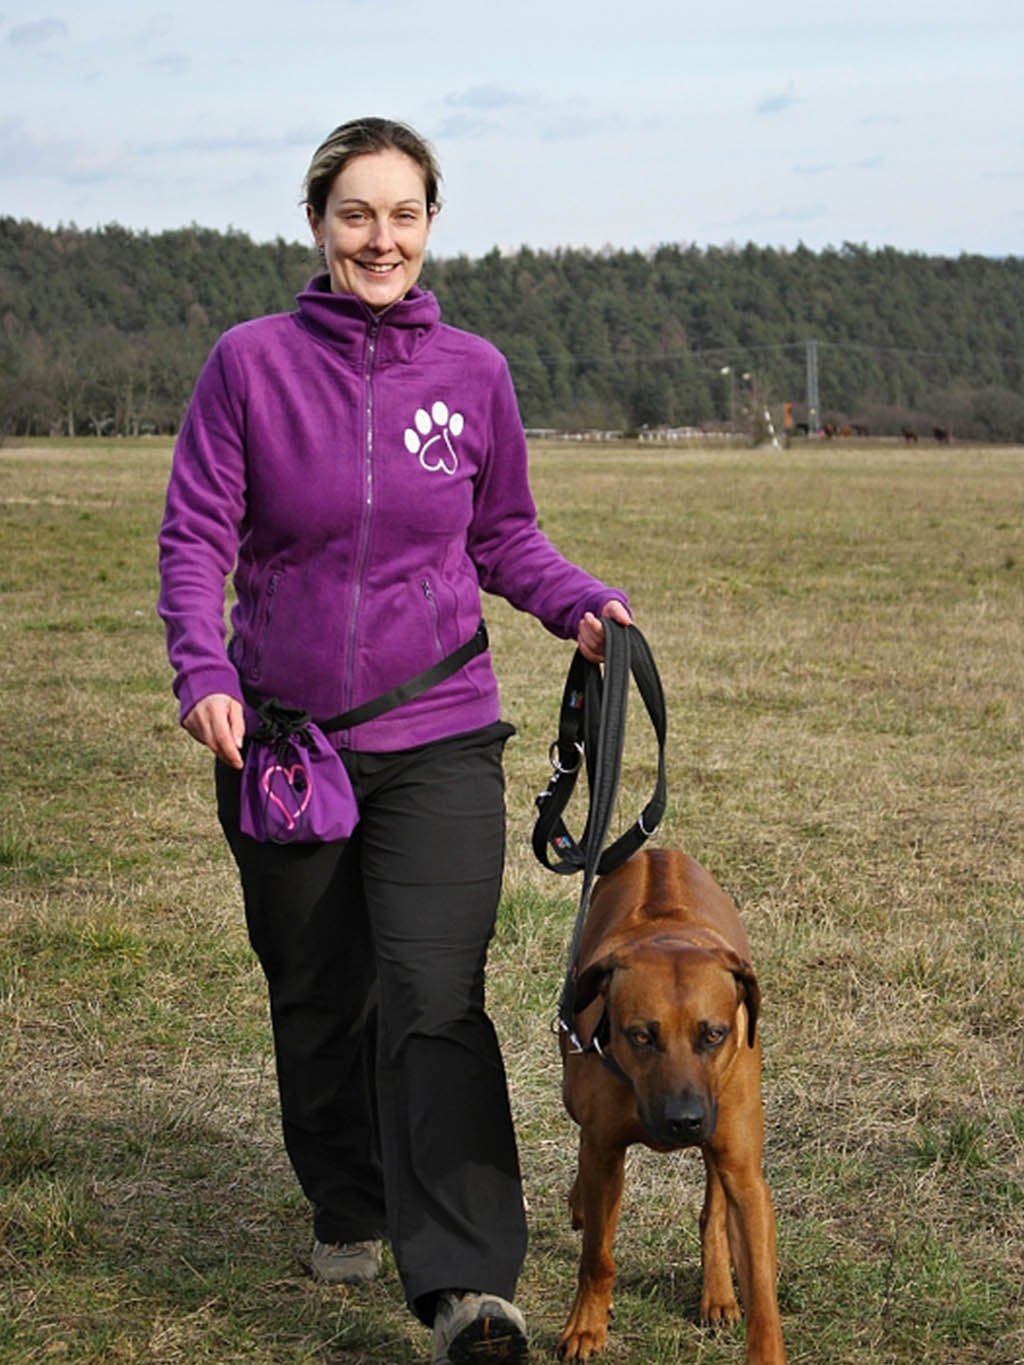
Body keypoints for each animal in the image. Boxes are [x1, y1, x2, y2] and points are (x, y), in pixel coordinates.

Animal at [562, 846, 786, 1359]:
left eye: (714, 1034)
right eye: (641, 1035)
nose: (684, 1121)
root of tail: (656, 850)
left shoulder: (745, 1173)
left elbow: (762, 1290)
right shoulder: (604, 1150)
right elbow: (597, 1257)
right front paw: (586, 1326)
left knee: (714, 1206)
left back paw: (718, 1293)